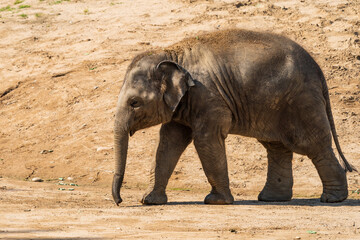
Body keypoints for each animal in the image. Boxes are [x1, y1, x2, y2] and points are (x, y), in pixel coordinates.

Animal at [112, 27, 354, 204]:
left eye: (134, 103)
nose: (120, 201)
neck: (172, 54)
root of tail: (318, 69)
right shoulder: (184, 102)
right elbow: (169, 143)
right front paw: (149, 201)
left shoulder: (208, 96)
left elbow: (206, 140)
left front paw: (216, 201)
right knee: (277, 147)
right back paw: (271, 199)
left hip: (302, 102)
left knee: (313, 145)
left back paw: (332, 199)